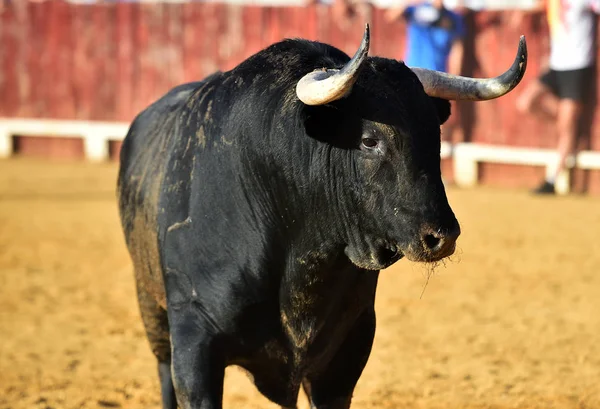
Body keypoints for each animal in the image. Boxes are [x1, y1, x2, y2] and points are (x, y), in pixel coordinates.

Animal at [116, 24, 524, 408]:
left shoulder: (347, 349)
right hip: (151, 308)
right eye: (369, 140)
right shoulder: (194, 340)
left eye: (435, 135)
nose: (441, 236)